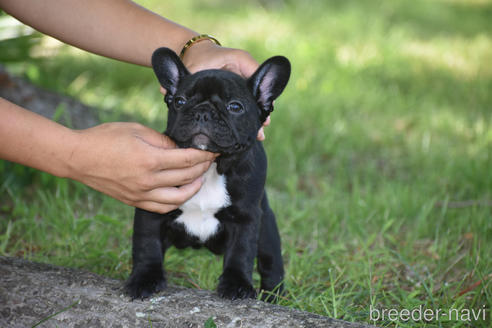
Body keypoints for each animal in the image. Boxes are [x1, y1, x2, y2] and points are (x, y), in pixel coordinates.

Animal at [125, 47, 290, 302]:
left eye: (235, 107)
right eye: (179, 101)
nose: (202, 112)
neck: (213, 165)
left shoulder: (247, 217)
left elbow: (241, 251)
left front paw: (237, 285)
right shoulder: (151, 207)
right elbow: (146, 245)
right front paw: (144, 279)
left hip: (267, 228)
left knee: (270, 262)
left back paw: (274, 295)